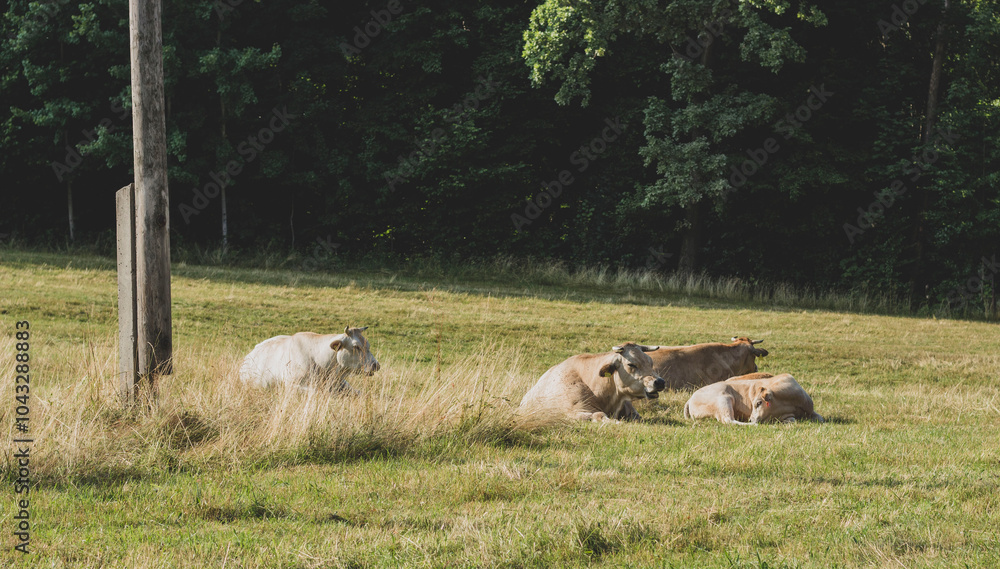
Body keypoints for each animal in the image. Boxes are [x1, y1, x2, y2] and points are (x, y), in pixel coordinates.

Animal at [683, 372, 825, 425]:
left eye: (759, 403)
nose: (751, 418)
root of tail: (690, 399)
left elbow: (820, 418)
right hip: (724, 400)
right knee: (728, 420)